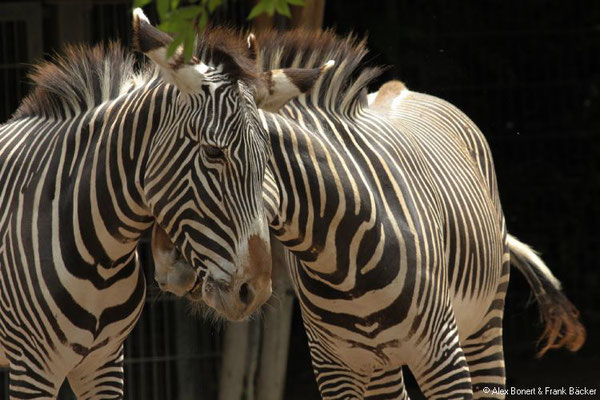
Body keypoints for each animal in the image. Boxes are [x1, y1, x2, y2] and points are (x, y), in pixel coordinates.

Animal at [0, 8, 328, 396]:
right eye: (213, 153)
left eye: (267, 159)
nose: (255, 293)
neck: (100, 259)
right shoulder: (32, 367)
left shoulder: (104, 362)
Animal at [152, 29, 584, 398]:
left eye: (211, 154)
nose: (166, 270)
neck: (339, 260)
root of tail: (404, 90)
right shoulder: (333, 368)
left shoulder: (442, 355)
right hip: (380, 364)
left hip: (483, 324)